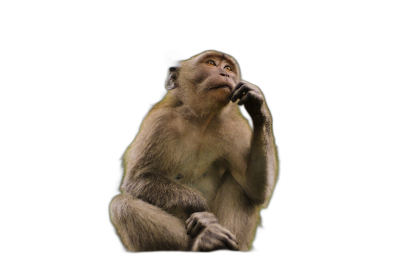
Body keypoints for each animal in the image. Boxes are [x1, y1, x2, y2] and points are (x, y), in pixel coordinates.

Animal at [109, 50, 278, 253]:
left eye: (228, 68)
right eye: (211, 63)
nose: (225, 74)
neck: (201, 120)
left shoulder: (234, 128)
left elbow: (255, 188)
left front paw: (257, 106)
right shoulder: (159, 123)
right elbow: (137, 180)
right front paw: (203, 211)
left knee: (239, 186)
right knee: (122, 205)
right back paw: (206, 240)